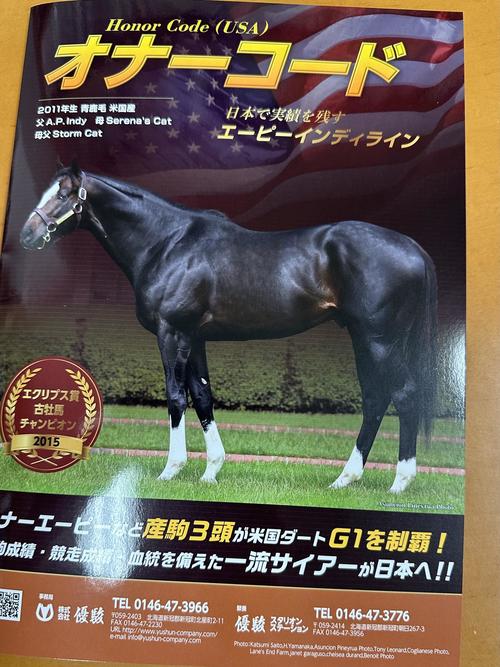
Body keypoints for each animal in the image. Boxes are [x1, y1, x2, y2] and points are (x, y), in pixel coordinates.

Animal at [19, 163, 437, 493]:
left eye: (64, 195)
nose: (26, 235)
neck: (168, 244)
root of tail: (413, 247)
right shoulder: (195, 338)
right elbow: (203, 397)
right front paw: (211, 472)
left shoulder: (172, 334)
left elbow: (176, 398)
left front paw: (171, 470)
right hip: (363, 339)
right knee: (375, 400)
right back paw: (344, 479)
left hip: (379, 340)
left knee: (404, 395)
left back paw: (399, 482)